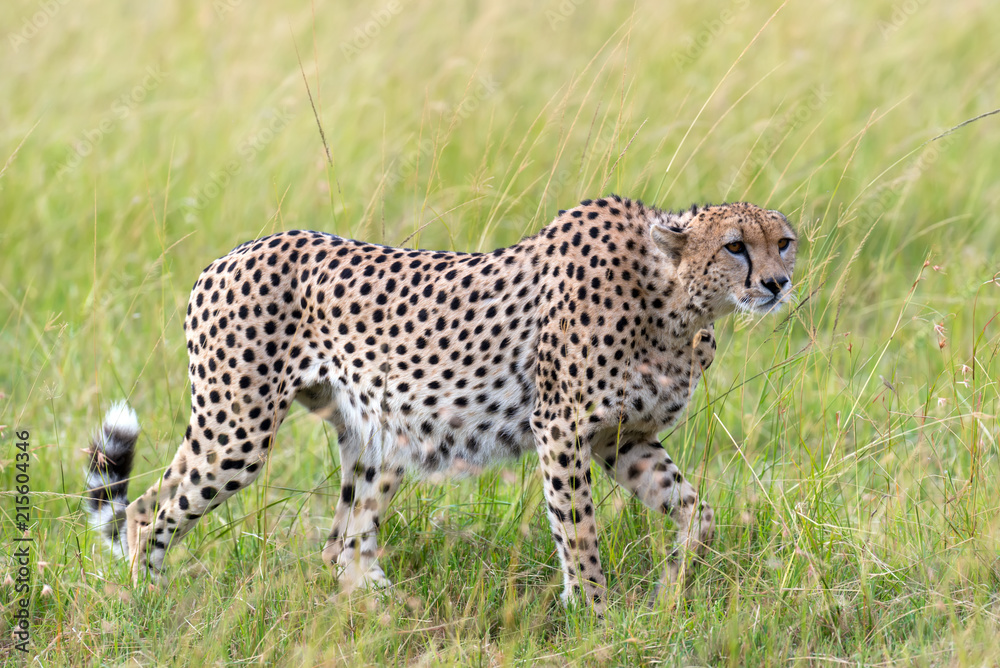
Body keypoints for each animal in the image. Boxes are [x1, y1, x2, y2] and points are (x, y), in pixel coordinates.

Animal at [84, 196, 797, 614]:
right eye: (735, 245)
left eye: (783, 241)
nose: (777, 282)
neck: (675, 300)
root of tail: (232, 254)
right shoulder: (562, 430)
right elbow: (580, 533)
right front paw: (597, 618)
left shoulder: (623, 440)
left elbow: (699, 513)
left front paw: (672, 586)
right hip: (235, 434)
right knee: (145, 512)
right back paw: (147, 602)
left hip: (379, 437)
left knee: (344, 548)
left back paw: (385, 613)